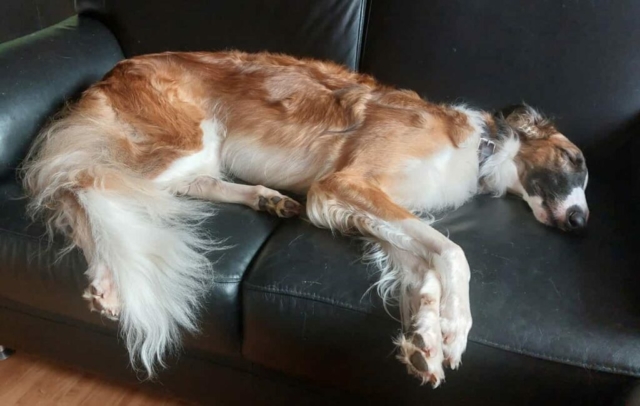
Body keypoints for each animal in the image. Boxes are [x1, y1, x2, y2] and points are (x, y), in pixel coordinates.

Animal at [21, 51, 589, 386]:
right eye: (574, 160)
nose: (582, 222)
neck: (481, 148)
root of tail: (112, 71)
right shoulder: (347, 184)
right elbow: (453, 253)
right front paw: (454, 330)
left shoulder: (353, 203)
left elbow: (423, 267)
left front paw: (424, 340)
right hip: (183, 138)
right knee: (79, 183)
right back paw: (104, 280)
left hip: (202, 149)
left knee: (162, 185)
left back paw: (267, 199)